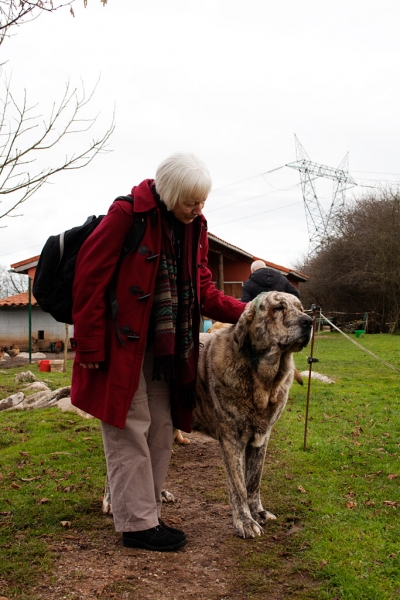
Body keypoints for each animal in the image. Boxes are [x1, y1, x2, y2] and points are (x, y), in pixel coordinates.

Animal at [191, 290, 312, 540]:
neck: (263, 381)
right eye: (278, 308)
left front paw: (258, 512)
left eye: (300, 308)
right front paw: (245, 522)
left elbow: (253, 480)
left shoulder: (261, 438)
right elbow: (238, 486)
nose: (309, 321)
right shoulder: (232, 440)